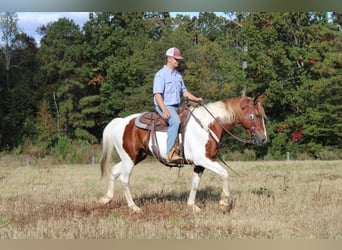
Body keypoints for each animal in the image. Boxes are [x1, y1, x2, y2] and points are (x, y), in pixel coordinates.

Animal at [99, 94, 268, 213]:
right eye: (255, 115)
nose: (263, 139)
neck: (208, 126)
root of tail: (121, 122)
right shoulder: (203, 159)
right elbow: (224, 173)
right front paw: (224, 203)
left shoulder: (200, 164)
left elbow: (195, 183)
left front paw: (192, 205)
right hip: (129, 158)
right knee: (124, 179)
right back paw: (134, 207)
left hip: (135, 157)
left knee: (114, 171)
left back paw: (106, 198)